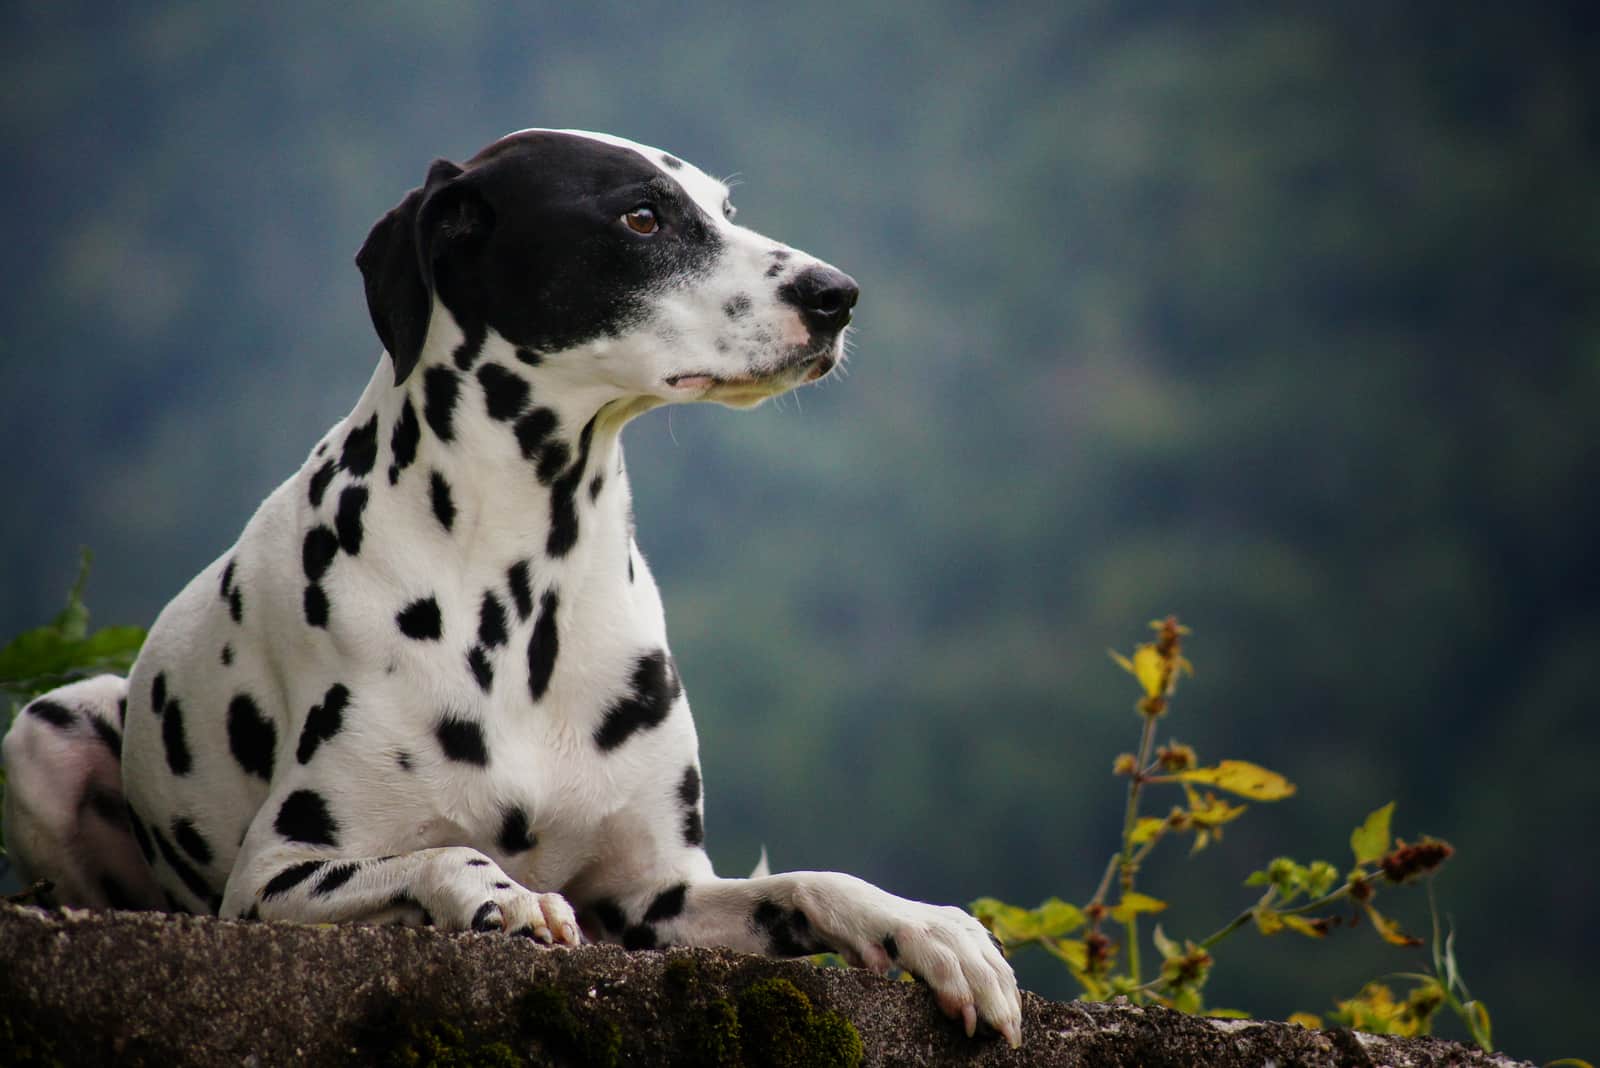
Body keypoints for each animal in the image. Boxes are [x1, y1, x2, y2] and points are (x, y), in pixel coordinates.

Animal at [0, 129, 1017, 1048]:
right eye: (642, 218)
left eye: (724, 209)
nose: (835, 294)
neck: (532, 591)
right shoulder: (273, 879)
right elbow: (445, 853)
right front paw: (504, 899)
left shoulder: (663, 899)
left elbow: (814, 882)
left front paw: (931, 929)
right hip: (46, 729)